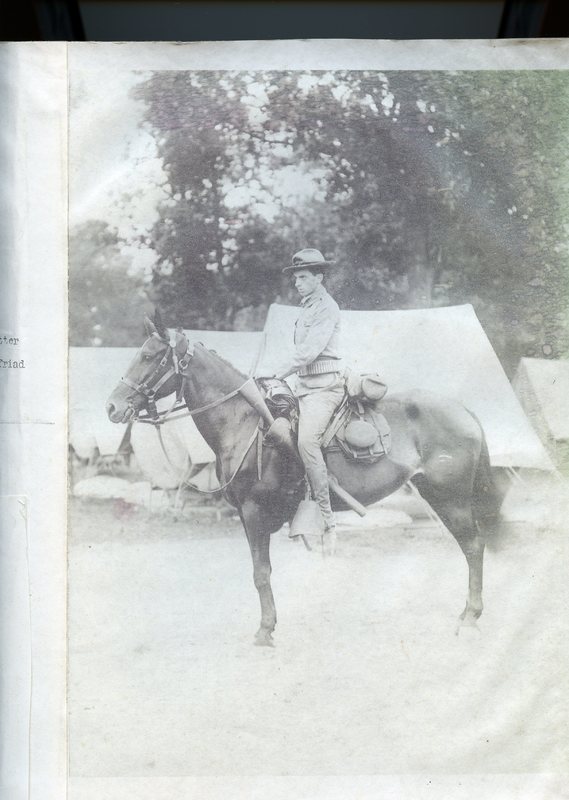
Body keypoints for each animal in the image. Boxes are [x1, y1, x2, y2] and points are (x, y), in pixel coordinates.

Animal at [104, 312, 500, 644]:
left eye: (149, 356)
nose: (112, 407)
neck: (243, 421)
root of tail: (462, 409)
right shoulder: (247, 516)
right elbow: (261, 571)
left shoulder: (254, 512)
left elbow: (261, 573)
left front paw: (265, 631)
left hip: (450, 498)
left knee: (473, 546)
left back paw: (470, 617)